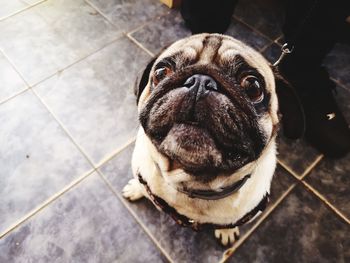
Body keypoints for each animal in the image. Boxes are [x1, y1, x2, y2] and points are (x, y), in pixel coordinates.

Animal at [122, 33, 298, 248]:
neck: (192, 183)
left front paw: (227, 231)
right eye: (161, 72)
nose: (200, 81)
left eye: (253, 86)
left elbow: (229, 223)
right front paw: (136, 188)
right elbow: (143, 185)